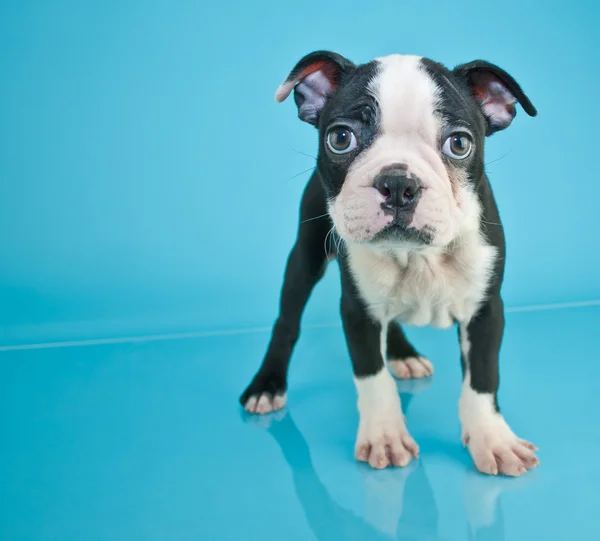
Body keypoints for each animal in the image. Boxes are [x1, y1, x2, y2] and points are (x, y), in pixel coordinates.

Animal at [239, 48, 540, 474]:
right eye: (340, 138)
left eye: (459, 144)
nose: (398, 182)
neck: (417, 256)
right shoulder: (357, 311)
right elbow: (371, 374)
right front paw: (385, 435)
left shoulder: (485, 310)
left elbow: (482, 378)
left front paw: (493, 440)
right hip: (306, 256)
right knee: (288, 320)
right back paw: (267, 385)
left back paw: (403, 353)